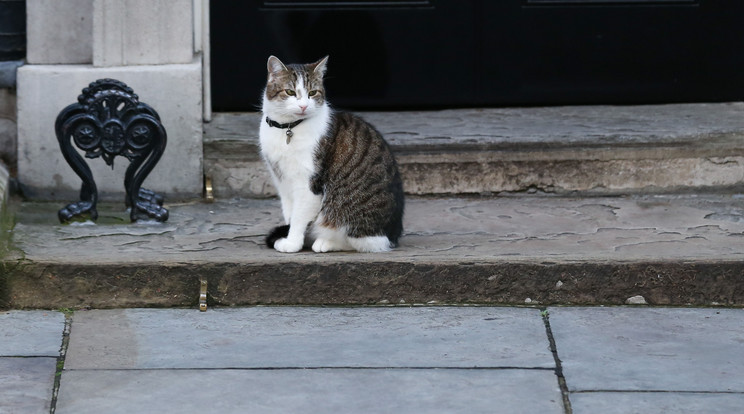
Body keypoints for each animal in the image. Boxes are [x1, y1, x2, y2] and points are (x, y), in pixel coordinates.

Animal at [258, 55, 404, 252]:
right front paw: (289, 236)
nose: (303, 106)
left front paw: (292, 243)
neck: (287, 128)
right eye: (289, 92)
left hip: (345, 212)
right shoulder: (282, 182)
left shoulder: (308, 185)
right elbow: (289, 214)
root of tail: (392, 236)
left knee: (358, 241)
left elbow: (298, 218)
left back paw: (325, 242)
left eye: (312, 93)